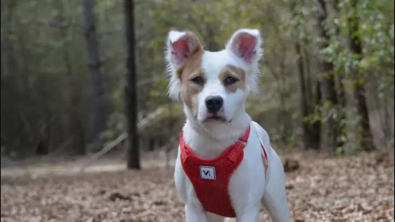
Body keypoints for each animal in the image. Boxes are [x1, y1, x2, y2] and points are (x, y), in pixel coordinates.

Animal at [164, 29, 290, 222]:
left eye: (230, 79)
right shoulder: (193, 208)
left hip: (277, 203)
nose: (214, 101)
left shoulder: (247, 208)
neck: (215, 140)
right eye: (197, 79)